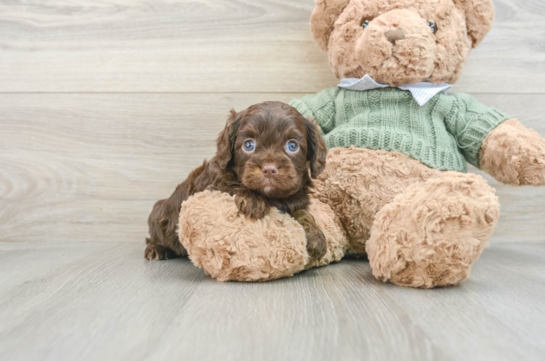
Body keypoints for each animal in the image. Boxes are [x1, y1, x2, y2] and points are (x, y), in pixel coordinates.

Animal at [144, 101, 328, 262]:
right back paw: (156, 249)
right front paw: (253, 200)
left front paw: (316, 236)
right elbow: (232, 186)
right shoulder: (211, 187)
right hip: (159, 216)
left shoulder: (297, 200)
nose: (269, 169)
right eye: (248, 145)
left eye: (292, 146)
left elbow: (303, 212)